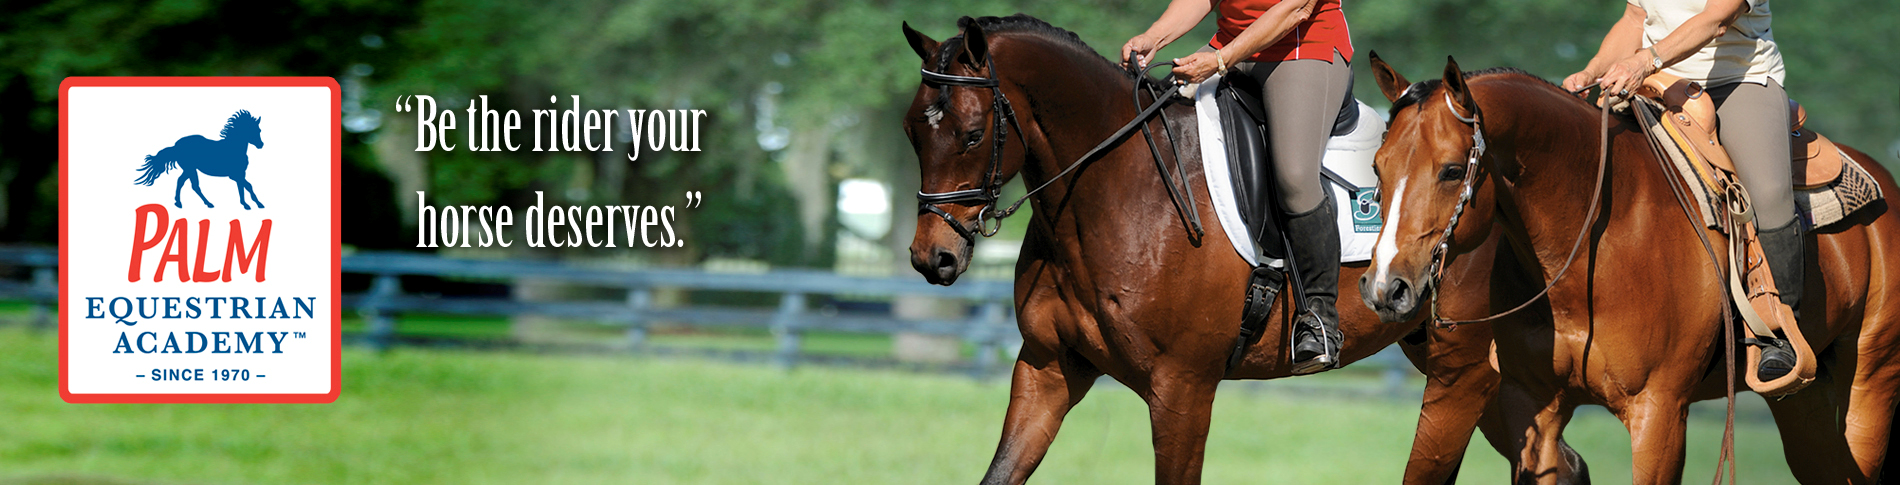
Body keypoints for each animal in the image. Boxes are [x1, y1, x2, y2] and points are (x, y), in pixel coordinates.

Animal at [133, 109, 266, 210]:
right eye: (250, 130)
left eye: (259, 130)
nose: (261, 145)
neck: (233, 148)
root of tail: (176, 146)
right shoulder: (234, 174)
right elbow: (248, 186)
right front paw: (258, 204)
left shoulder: (240, 173)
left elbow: (242, 188)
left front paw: (246, 204)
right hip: (190, 168)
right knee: (194, 185)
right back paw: (208, 203)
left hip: (188, 169)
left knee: (181, 181)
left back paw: (178, 203)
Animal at [900, 15, 1573, 485]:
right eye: (912, 132)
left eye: (971, 134)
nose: (932, 258)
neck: (1117, 188)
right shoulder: (1047, 368)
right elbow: (1002, 470)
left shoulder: (1183, 388)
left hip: (1461, 371)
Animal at [1360, 54, 1900, 483]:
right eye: (1377, 167)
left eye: (1452, 170)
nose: (1386, 288)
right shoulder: (1530, 406)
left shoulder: (1658, 414)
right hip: (1804, 400)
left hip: (1872, 379)